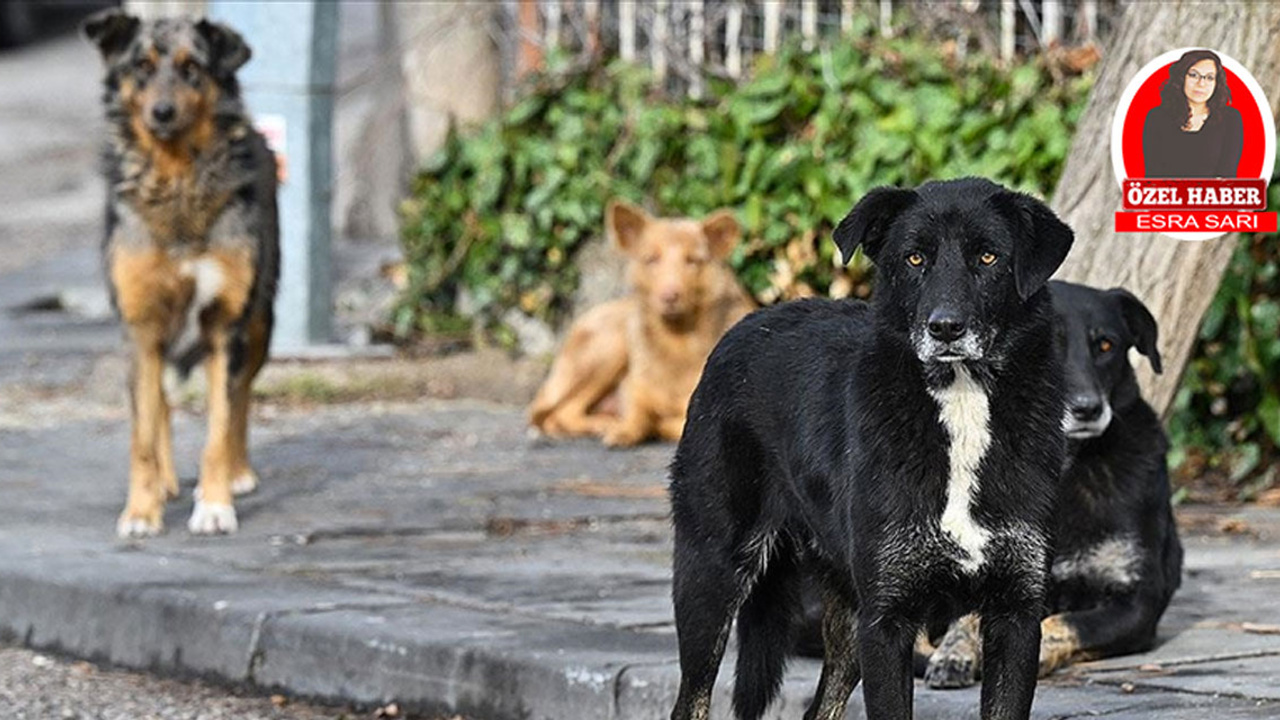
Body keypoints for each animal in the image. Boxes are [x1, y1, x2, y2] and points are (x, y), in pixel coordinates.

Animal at [83, 9, 279, 532]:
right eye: (142, 67)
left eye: (193, 68)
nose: (163, 113)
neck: (176, 180)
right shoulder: (140, 324)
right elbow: (143, 433)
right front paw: (141, 510)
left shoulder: (225, 323)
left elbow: (219, 425)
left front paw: (214, 505)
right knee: (162, 404)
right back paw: (166, 484)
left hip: (260, 322)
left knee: (241, 396)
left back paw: (238, 472)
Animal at [527, 199, 752, 443]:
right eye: (651, 259)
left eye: (692, 261)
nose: (669, 296)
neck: (677, 341)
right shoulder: (635, 389)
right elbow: (639, 413)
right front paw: (627, 428)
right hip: (609, 347)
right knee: (559, 412)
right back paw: (602, 424)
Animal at [665, 178, 1075, 717]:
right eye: (915, 258)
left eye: (988, 257)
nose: (946, 328)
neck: (961, 401)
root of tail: (748, 324)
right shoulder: (886, 622)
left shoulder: (1016, 617)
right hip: (711, 575)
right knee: (692, 697)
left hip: (844, 612)